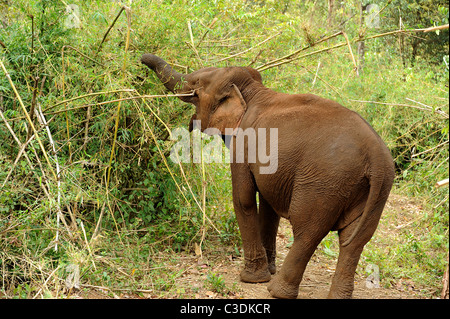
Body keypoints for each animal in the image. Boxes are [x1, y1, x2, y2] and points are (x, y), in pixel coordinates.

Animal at [141, 53, 394, 298]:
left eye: (197, 85)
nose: (141, 58)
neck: (252, 91)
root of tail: (376, 157)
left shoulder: (242, 145)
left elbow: (243, 199)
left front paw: (252, 278)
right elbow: (268, 206)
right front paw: (268, 269)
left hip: (324, 183)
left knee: (307, 231)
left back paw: (277, 291)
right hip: (375, 190)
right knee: (355, 239)